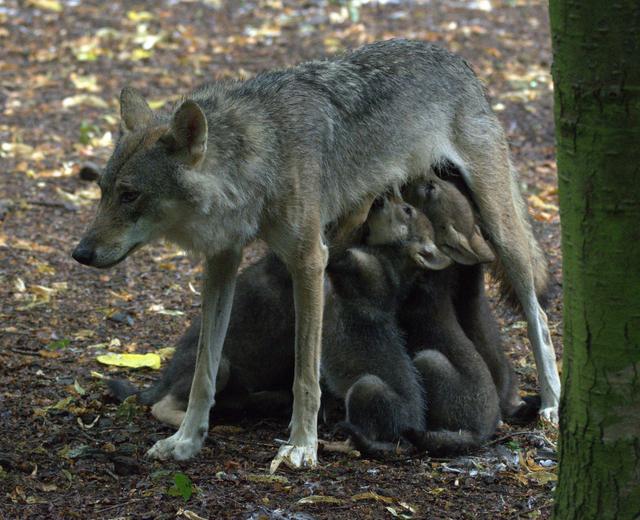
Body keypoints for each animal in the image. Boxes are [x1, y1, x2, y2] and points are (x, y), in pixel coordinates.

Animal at [71, 38, 560, 470]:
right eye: (102, 191)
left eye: (130, 195)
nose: (79, 253)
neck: (259, 157)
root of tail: (455, 58)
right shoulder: (222, 262)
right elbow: (203, 374)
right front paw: (187, 441)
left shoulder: (309, 260)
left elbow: (305, 375)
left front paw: (301, 447)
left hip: (502, 232)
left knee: (539, 316)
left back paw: (552, 406)